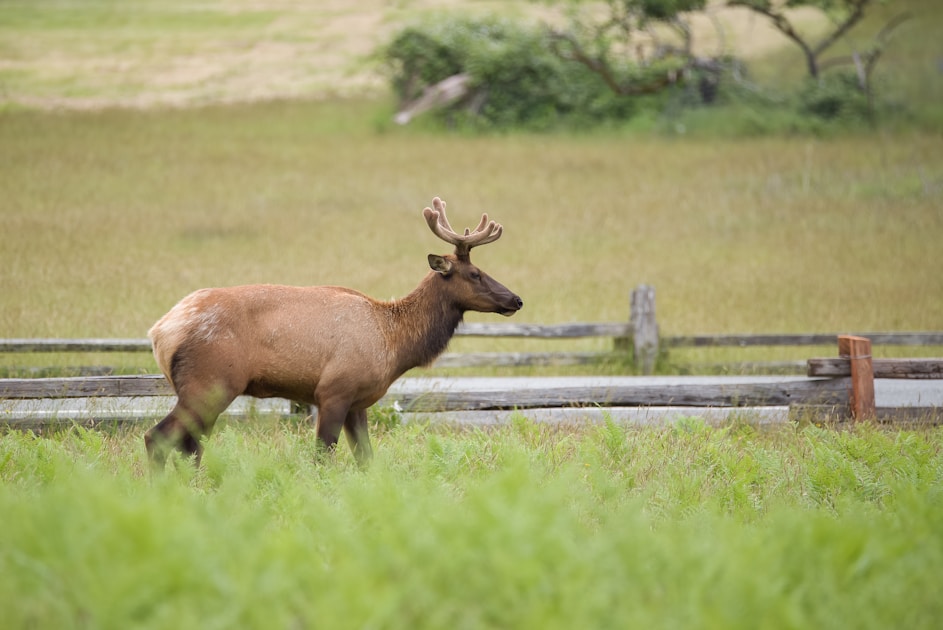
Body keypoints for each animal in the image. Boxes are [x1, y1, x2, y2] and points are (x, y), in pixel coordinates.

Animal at [144, 197, 522, 469]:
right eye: (475, 273)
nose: (516, 299)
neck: (394, 345)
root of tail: (161, 331)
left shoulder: (359, 401)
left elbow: (366, 459)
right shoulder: (334, 390)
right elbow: (322, 456)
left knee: (190, 445)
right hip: (210, 382)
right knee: (158, 438)